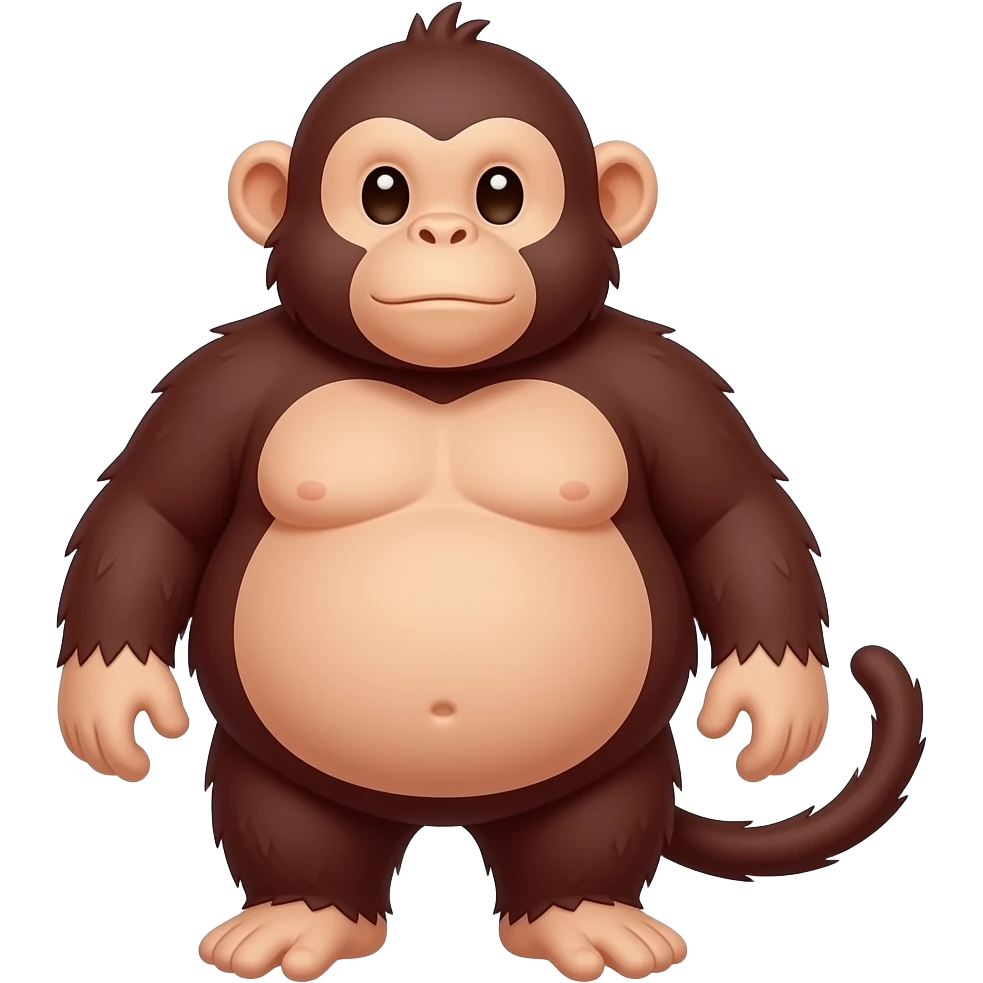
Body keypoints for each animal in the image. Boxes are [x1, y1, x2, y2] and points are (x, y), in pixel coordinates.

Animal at [54, 5, 925, 981]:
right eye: (384, 194)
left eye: (499, 194)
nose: (442, 234)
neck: (447, 378)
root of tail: (443, 816)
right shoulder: (222, 377)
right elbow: (154, 510)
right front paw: (108, 695)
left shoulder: (665, 379)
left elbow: (729, 510)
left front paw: (772, 696)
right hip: (272, 761)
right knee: (291, 817)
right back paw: (300, 914)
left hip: (609, 766)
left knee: (588, 821)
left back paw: (583, 916)